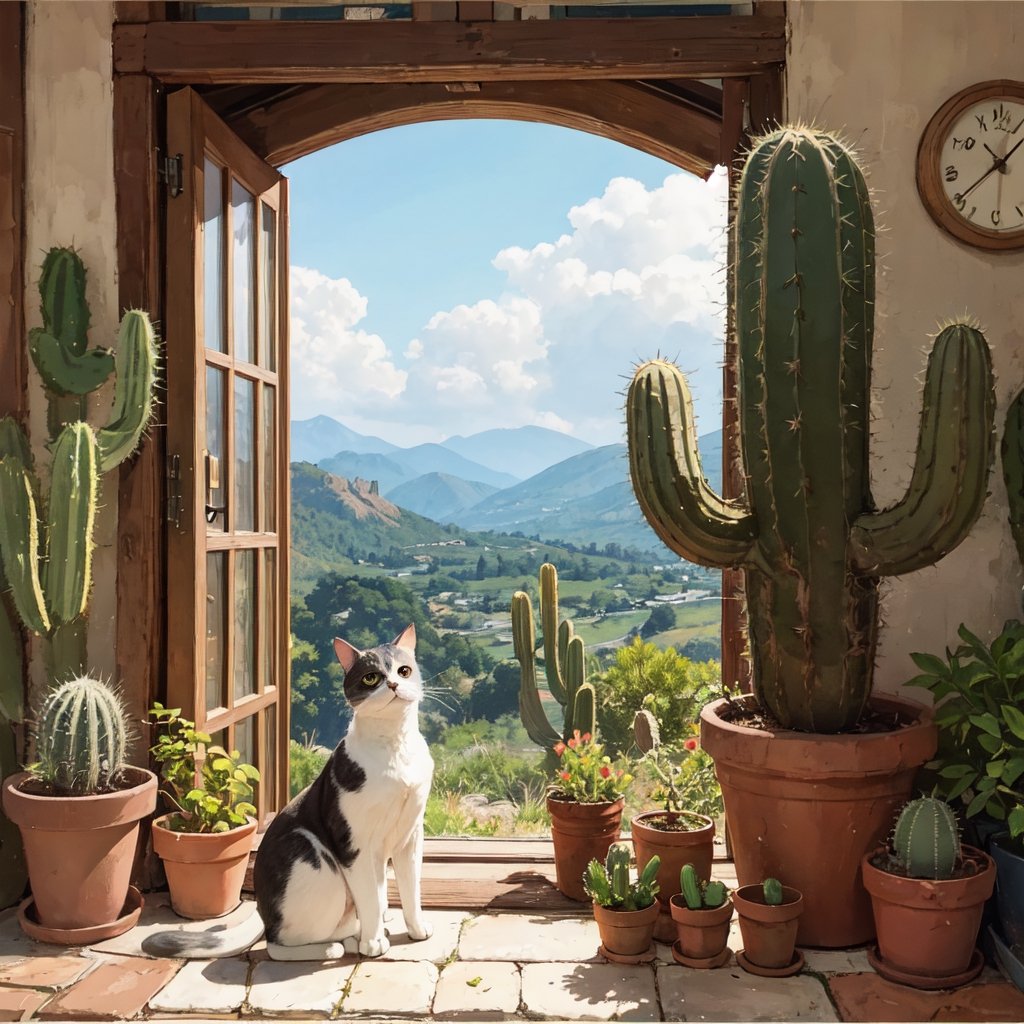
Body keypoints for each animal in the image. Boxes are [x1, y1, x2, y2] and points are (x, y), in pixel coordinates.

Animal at [143, 622, 432, 958]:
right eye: (372, 677)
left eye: (404, 670)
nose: (395, 684)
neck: (395, 746)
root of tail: (261, 914)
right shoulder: (352, 843)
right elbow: (370, 900)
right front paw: (373, 944)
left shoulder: (410, 835)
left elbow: (411, 889)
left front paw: (416, 929)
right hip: (316, 860)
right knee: (277, 943)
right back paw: (336, 946)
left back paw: (355, 936)